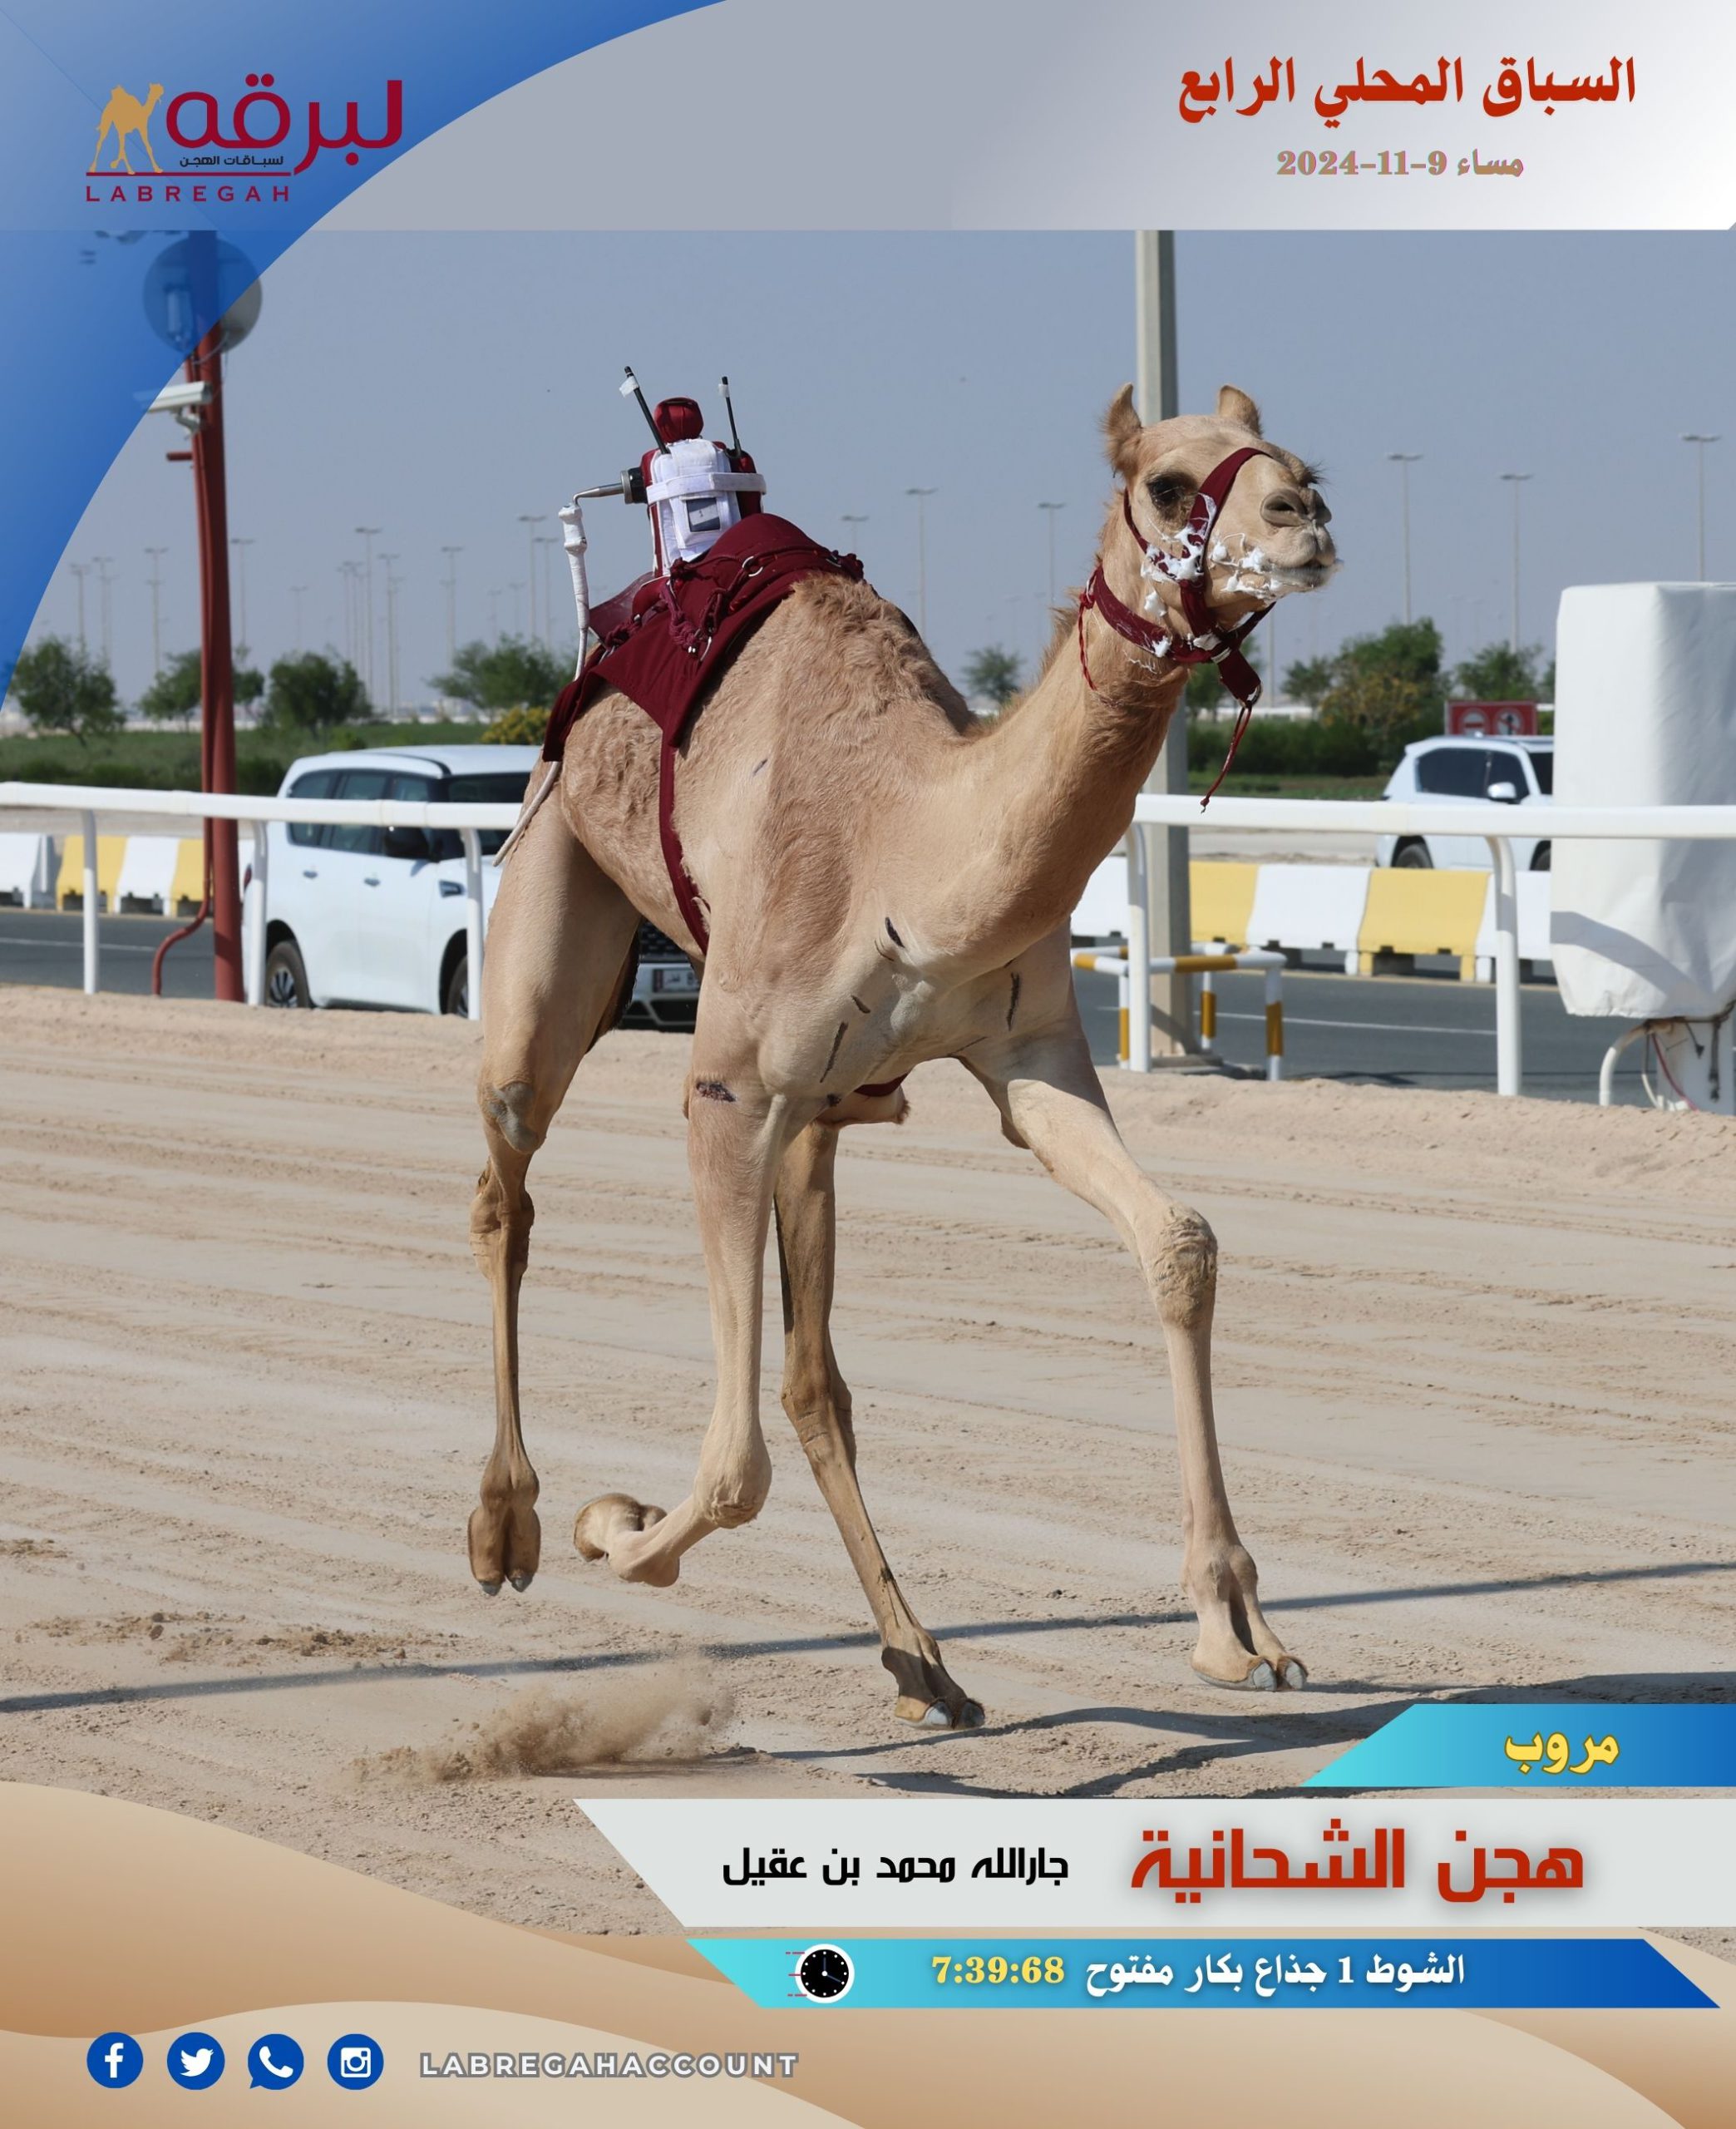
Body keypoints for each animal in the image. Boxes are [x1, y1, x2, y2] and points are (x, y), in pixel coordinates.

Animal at [467, 387, 1335, 1728]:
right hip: (555, 879)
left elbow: (1180, 1241)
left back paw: (923, 1661)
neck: (908, 845)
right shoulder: (726, 1087)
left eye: (1299, 464)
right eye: (1169, 485)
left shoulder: (1027, 1052)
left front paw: (1237, 1625)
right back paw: (506, 1527)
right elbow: (731, 1471)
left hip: (823, 1113)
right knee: (504, 1181)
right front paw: (613, 1526)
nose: (1305, 520)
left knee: (813, 1379)